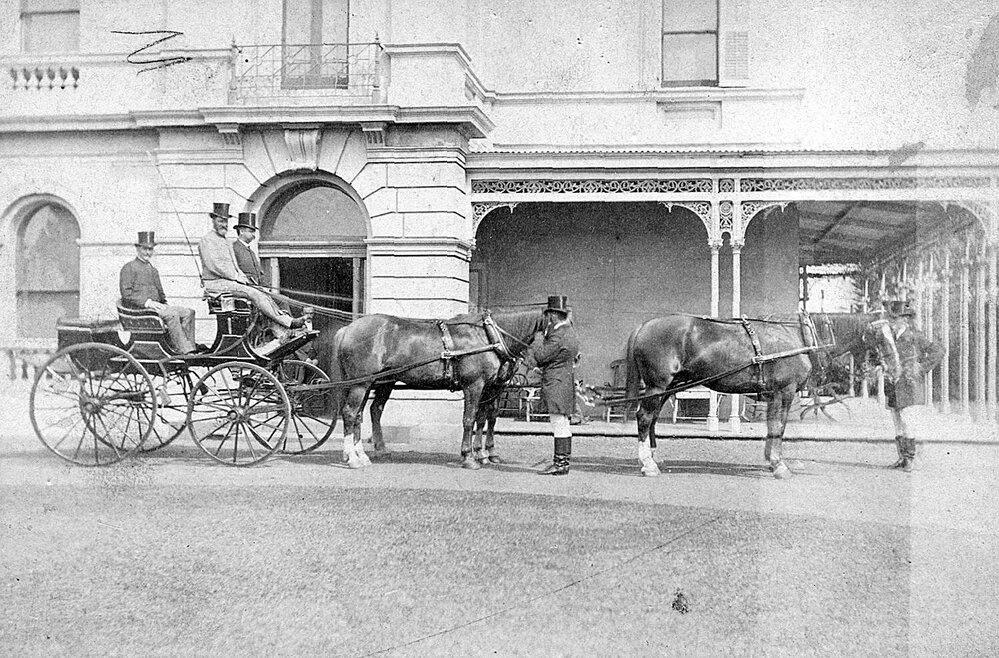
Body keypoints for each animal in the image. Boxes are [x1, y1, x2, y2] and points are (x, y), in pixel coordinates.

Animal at [313, 308, 545, 469]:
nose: (533, 371)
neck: (488, 336)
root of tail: (348, 329)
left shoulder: (490, 387)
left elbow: (485, 419)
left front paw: (484, 454)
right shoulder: (474, 385)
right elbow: (470, 420)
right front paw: (469, 456)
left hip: (376, 382)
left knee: (366, 412)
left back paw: (365, 453)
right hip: (360, 383)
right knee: (350, 413)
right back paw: (353, 458)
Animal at [624, 312, 901, 479]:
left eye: (895, 334)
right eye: (880, 336)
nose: (896, 369)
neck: (800, 337)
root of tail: (644, 325)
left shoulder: (774, 394)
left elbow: (773, 427)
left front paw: (771, 460)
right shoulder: (784, 391)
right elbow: (779, 427)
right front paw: (779, 465)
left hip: (667, 386)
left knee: (652, 419)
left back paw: (654, 458)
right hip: (657, 386)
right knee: (644, 418)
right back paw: (648, 464)